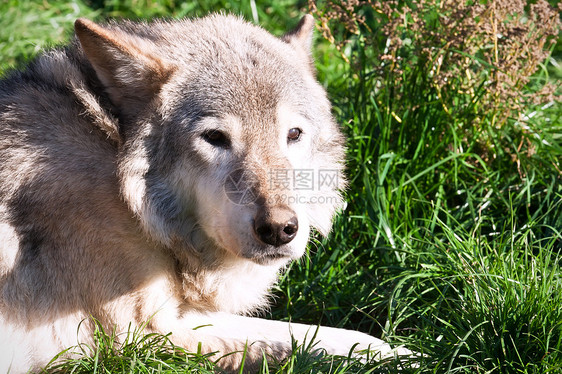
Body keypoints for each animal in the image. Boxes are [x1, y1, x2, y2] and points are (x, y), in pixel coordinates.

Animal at [0, 13, 404, 372]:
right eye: (215, 137)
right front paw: (401, 358)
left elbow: (325, 335)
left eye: (293, 134)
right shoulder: (142, 339)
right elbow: (314, 344)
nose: (279, 229)